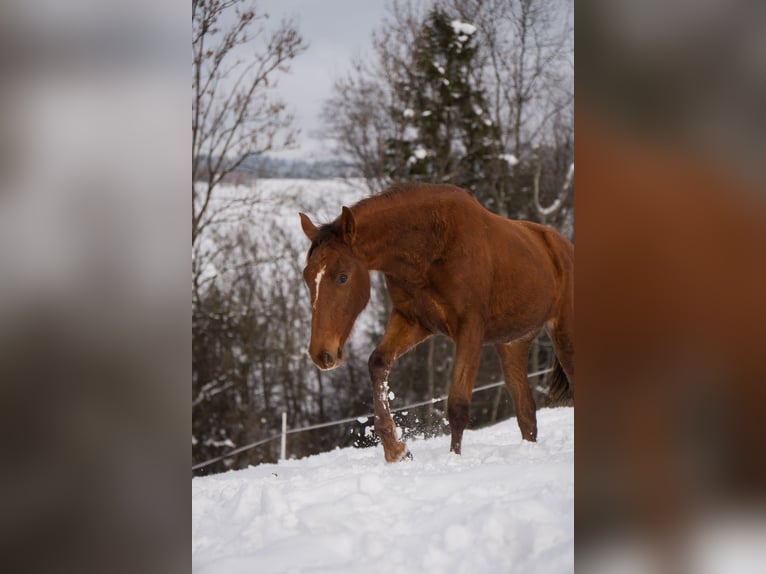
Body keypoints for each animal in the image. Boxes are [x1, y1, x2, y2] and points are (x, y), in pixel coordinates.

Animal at [299, 183, 574, 462]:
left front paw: (454, 459)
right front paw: (395, 449)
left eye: (342, 277)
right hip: (513, 344)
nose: (321, 354)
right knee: (526, 413)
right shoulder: (412, 321)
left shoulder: (470, 329)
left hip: (564, 334)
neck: (431, 245)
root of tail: (562, 246)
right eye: (307, 277)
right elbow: (377, 363)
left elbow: (458, 405)